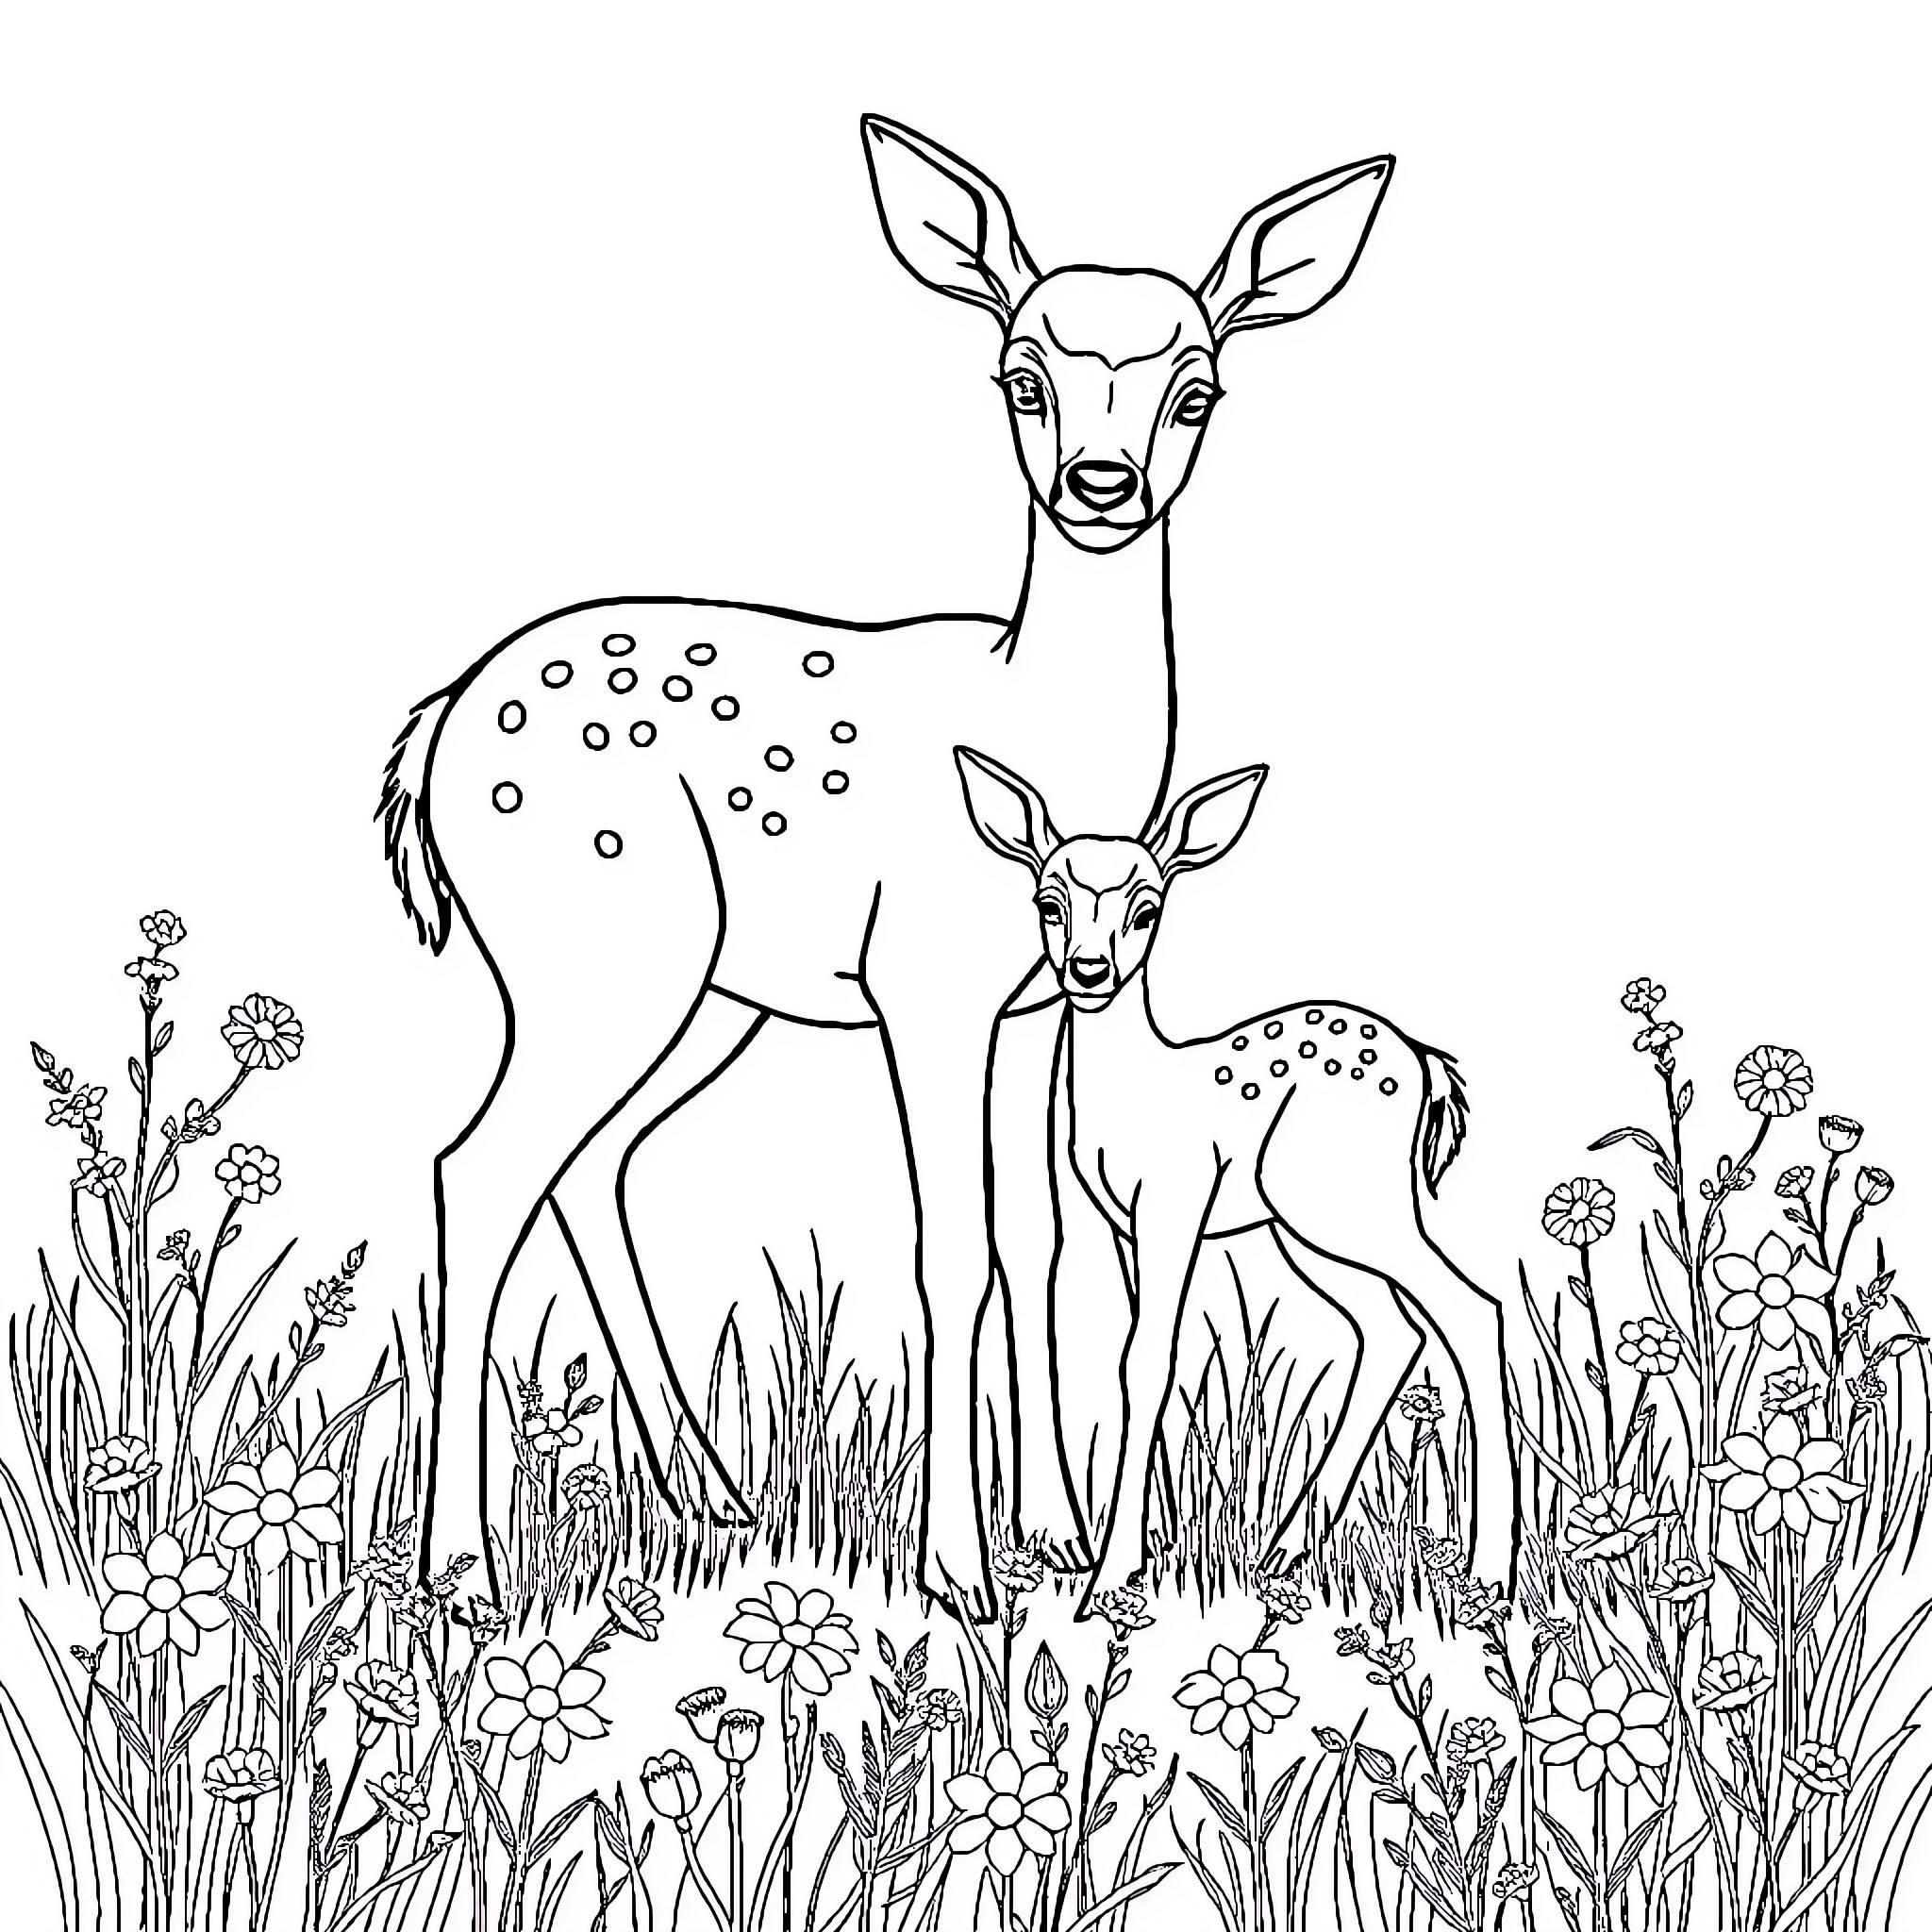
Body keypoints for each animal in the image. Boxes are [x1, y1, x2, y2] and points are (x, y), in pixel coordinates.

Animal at [377, 114, 1394, 1617]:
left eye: (1198, 391)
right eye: (1020, 375)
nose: (1102, 486)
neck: (1037, 725)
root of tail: (437, 727)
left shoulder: (1031, 1009)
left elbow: (1033, 1239)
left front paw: (1058, 1536)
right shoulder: (927, 985)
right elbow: (945, 1245)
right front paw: (960, 1575)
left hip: (701, 992)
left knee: (588, 1162)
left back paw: (713, 1494)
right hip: (594, 954)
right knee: (481, 1167)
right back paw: (460, 1568)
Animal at [953, 747, 1519, 1613]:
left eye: (1147, 909)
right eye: (1048, 903)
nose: (1090, 970)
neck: (1136, 1094)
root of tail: (1426, 1065)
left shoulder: (1177, 1199)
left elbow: (1147, 1359)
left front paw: (1108, 1580)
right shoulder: (1127, 1220)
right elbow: (1140, 1354)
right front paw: (1143, 1550)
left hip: (1352, 1205)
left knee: (1470, 1309)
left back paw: (1487, 1574)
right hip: (1307, 1227)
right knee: (1392, 1328)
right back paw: (1287, 1550)